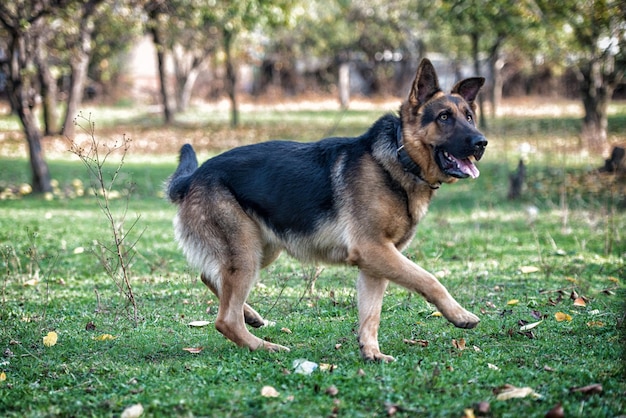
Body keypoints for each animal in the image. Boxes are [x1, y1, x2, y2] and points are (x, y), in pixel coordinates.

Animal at [168, 58, 486, 362]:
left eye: (469, 117)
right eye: (444, 117)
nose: (481, 142)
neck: (399, 156)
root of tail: (193, 176)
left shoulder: (376, 262)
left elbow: (371, 314)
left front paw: (371, 352)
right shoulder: (373, 250)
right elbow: (429, 280)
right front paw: (460, 315)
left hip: (262, 249)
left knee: (210, 278)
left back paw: (252, 317)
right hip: (247, 252)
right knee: (225, 319)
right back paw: (265, 347)